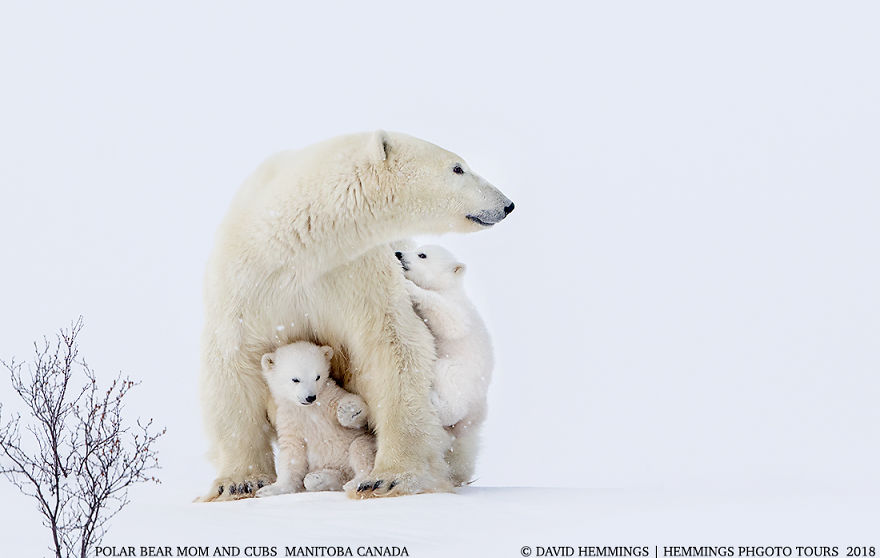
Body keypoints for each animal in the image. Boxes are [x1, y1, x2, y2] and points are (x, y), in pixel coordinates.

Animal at [255, 342, 375, 497]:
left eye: (317, 377)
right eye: (295, 379)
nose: (310, 397)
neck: (308, 409)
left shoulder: (328, 398)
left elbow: (357, 412)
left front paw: (347, 411)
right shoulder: (289, 419)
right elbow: (292, 452)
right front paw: (268, 489)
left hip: (365, 441)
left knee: (360, 449)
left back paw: (356, 482)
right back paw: (318, 478)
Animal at [395, 245, 493, 486]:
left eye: (422, 255)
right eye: (417, 249)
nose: (398, 254)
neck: (451, 288)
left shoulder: (458, 309)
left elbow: (450, 321)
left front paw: (411, 287)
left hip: (462, 374)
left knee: (448, 385)